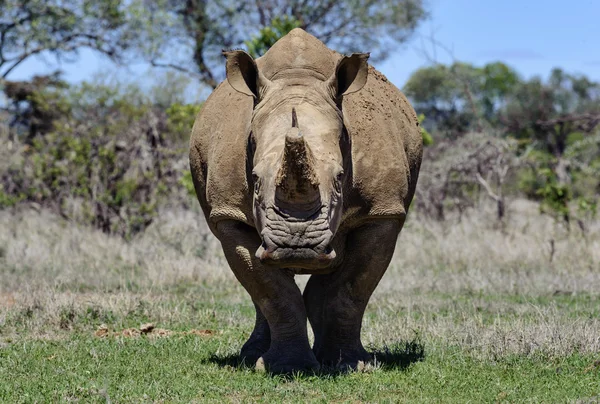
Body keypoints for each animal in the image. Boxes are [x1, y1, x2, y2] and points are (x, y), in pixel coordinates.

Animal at [189, 28, 422, 372]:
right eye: (255, 180)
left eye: (340, 178)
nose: (296, 245)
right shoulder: (228, 214)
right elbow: (271, 291)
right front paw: (288, 367)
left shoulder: (383, 212)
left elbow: (350, 289)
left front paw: (350, 365)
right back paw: (253, 356)